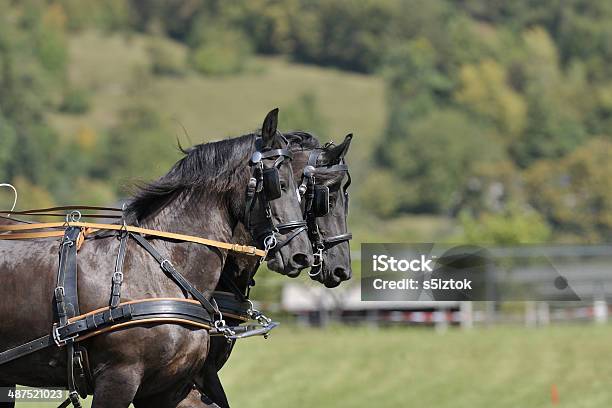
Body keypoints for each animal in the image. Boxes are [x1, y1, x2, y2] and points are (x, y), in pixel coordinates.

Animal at [0, 109, 314, 408]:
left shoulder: (168, 389)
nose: (302, 254)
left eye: (304, 191)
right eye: (279, 184)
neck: (158, 267)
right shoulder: (119, 378)